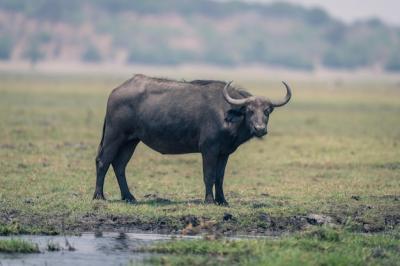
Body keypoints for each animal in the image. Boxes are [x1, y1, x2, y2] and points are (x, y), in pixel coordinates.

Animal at [95, 75, 292, 206]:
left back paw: (129, 197)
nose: (260, 129)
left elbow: (220, 176)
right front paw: (209, 200)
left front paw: (222, 200)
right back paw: (99, 196)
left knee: (119, 165)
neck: (227, 113)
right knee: (103, 161)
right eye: (250, 110)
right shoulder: (209, 150)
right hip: (114, 136)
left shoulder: (224, 153)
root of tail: (116, 91)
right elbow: (209, 175)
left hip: (131, 141)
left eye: (267, 111)